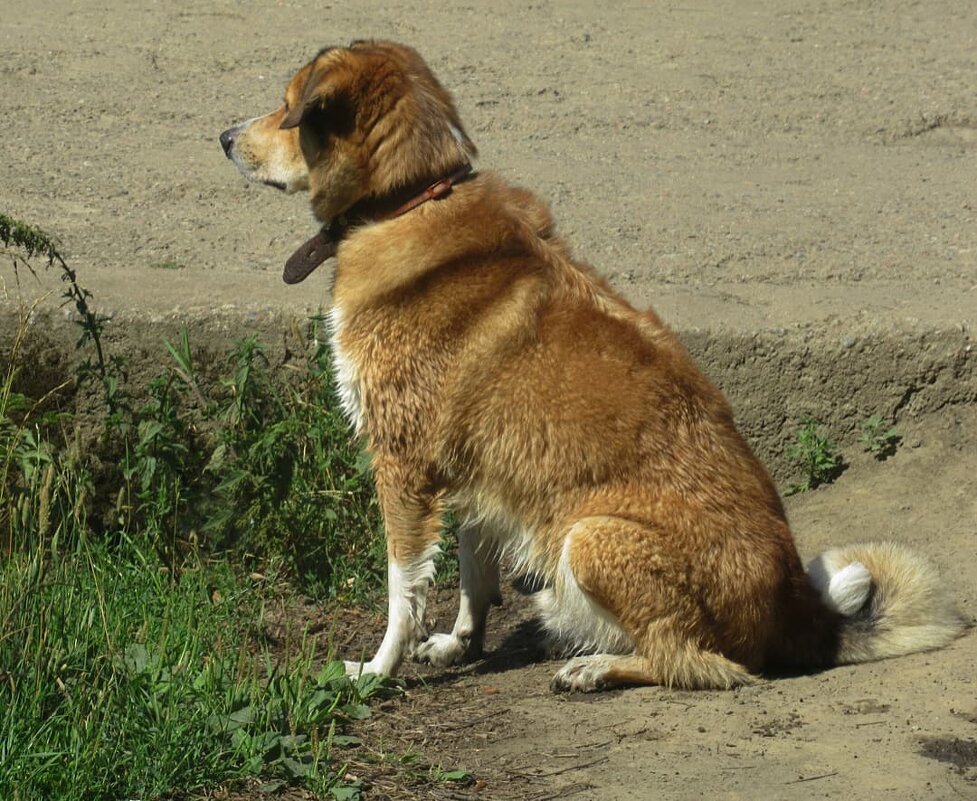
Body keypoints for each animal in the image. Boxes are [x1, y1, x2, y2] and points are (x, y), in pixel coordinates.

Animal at [219, 40, 960, 692]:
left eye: (286, 105)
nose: (223, 136)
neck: (413, 197)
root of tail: (795, 615)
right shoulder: (476, 465)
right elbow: (473, 570)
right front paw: (461, 643)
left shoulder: (402, 464)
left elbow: (404, 587)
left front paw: (376, 671)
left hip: (591, 536)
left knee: (699, 663)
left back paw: (595, 667)